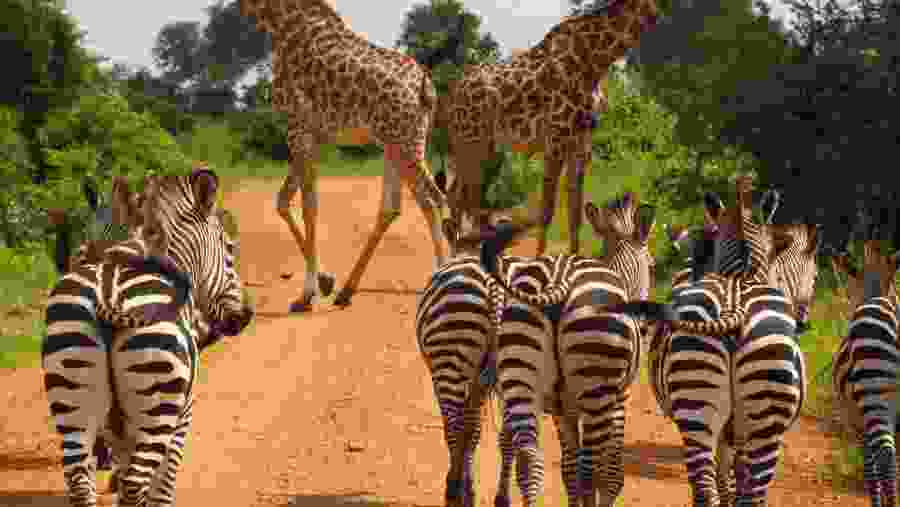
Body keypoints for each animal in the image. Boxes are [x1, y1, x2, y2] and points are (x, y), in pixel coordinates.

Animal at [42, 168, 254, 507]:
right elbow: (162, 486)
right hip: (158, 404)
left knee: (81, 482)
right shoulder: (182, 416)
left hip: (73, 399)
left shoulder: (120, 429)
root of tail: (107, 296)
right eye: (230, 249)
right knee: (134, 484)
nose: (245, 316)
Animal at [238, 0, 453, 311]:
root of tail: (426, 89)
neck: (281, 25)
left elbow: (308, 206)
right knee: (398, 207)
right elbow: (283, 201)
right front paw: (325, 282)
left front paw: (306, 295)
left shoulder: (297, 128)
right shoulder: (314, 136)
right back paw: (346, 291)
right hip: (399, 142)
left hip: (404, 144)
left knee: (433, 200)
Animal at [440, 0, 658, 255]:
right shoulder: (555, 140)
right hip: (471, 141)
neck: (595, 61)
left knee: (457, 196)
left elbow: (575, 212)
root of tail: (452, 95)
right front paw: (541, 260)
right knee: (467, 199)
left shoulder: (581, 142)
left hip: (478, 145)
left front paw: (574, 259)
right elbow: (546, 211)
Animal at [463, 191, 656, 507]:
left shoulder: (561, 408)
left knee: (527, 459)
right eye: (652, 266)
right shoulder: (619, 399)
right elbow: (609, 475)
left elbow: (569, 470)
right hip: (595, 390)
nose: (645, 326)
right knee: (588, 469)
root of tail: (558, 282)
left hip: (521, 377)